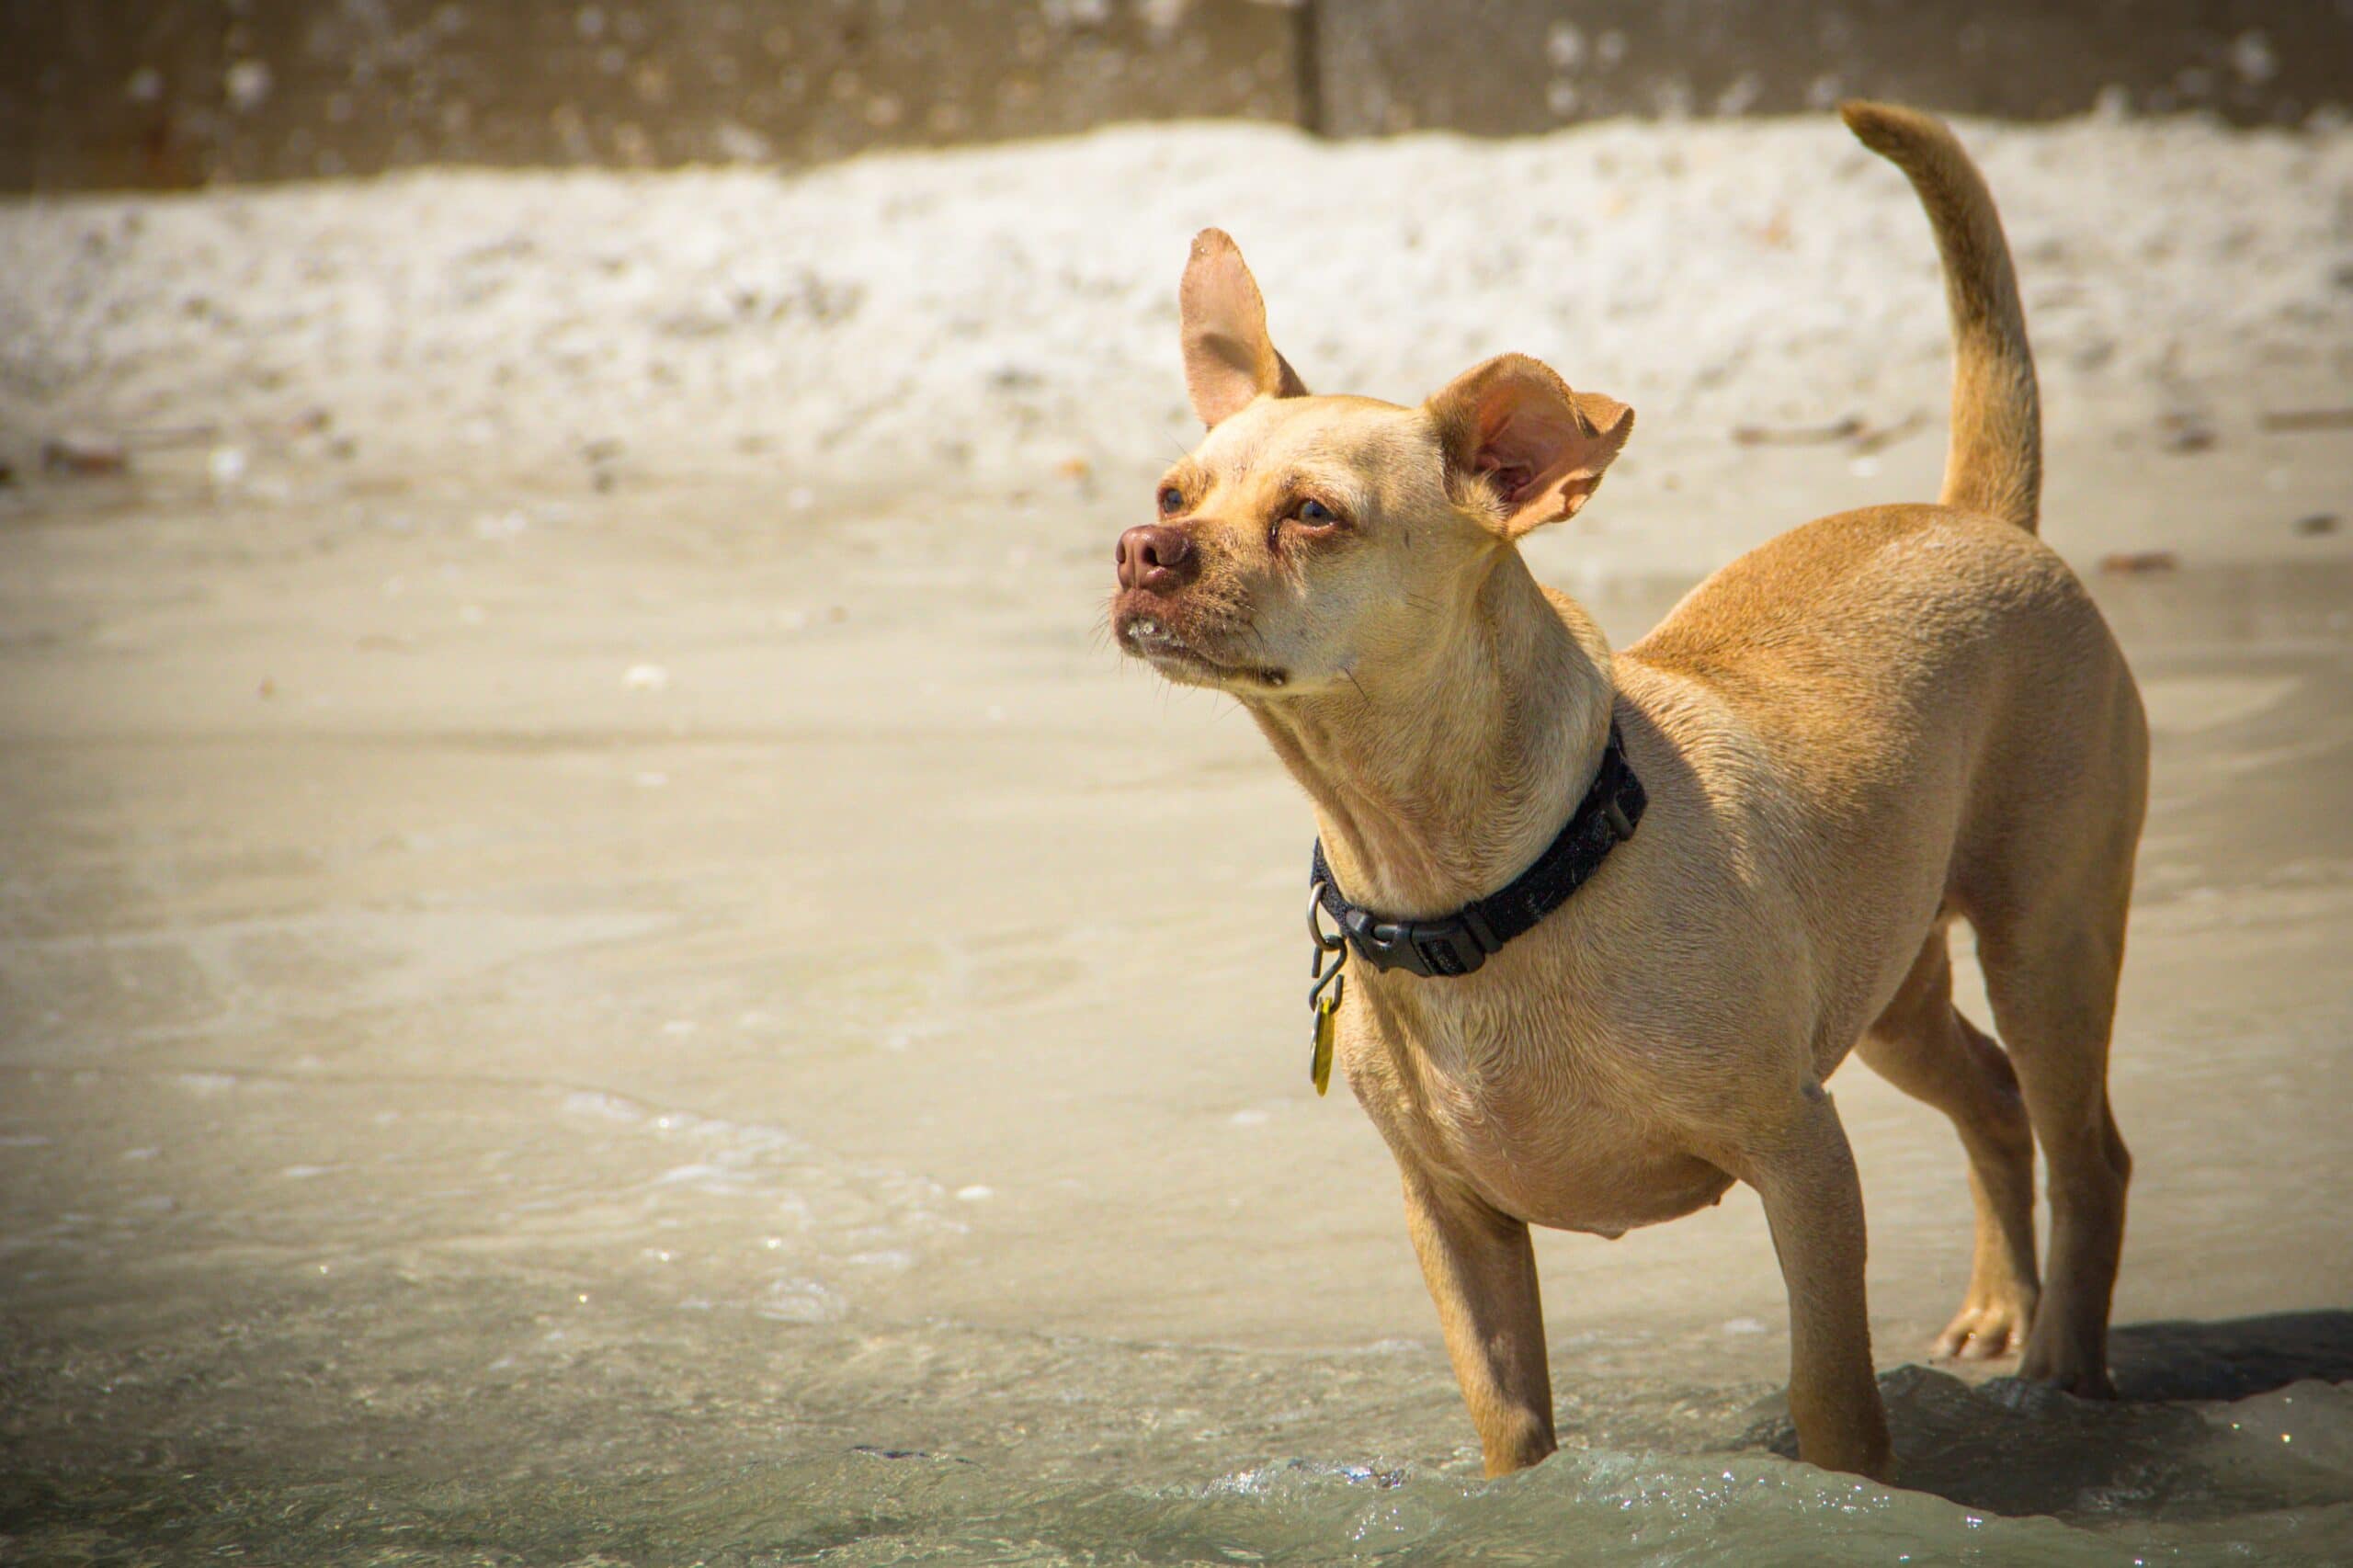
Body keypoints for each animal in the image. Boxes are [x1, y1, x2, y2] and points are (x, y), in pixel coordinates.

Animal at [1110, 103, 2145, 1469]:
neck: (1480, 880)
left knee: (2088, 1150)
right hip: (1892, 990)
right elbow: (1512, 1425)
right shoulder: (1455, 1218)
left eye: (1316, 515)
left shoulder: (1802, 1158)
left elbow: (1831, 1394)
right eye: (1174, 493)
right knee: (1991, 1096)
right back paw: (2003, 1310)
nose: (1141, 549)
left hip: (2048, 941)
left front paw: (1855, 1488)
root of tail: (1980, 517)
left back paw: (2066, 1372)